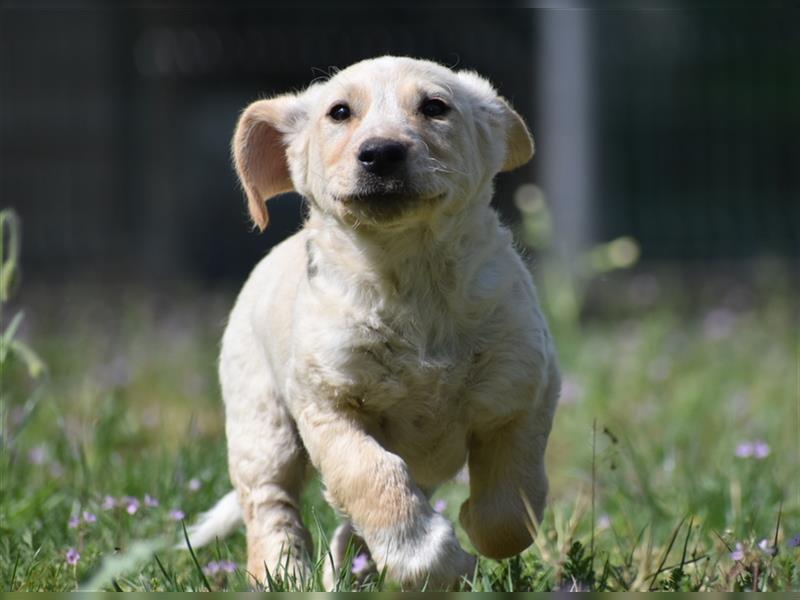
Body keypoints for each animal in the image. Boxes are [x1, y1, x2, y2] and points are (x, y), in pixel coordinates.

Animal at [188, 54, 564, 588]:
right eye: (339, 112)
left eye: (435, 107)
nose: (381, 153)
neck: (411, 280)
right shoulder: (328, 406)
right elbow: (370, 478)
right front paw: (431, 559)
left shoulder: (523, 391)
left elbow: (512, 507)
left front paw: (469, 531)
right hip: (261, 424)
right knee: (270, 504)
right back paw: (284, 575)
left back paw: (352, 569)